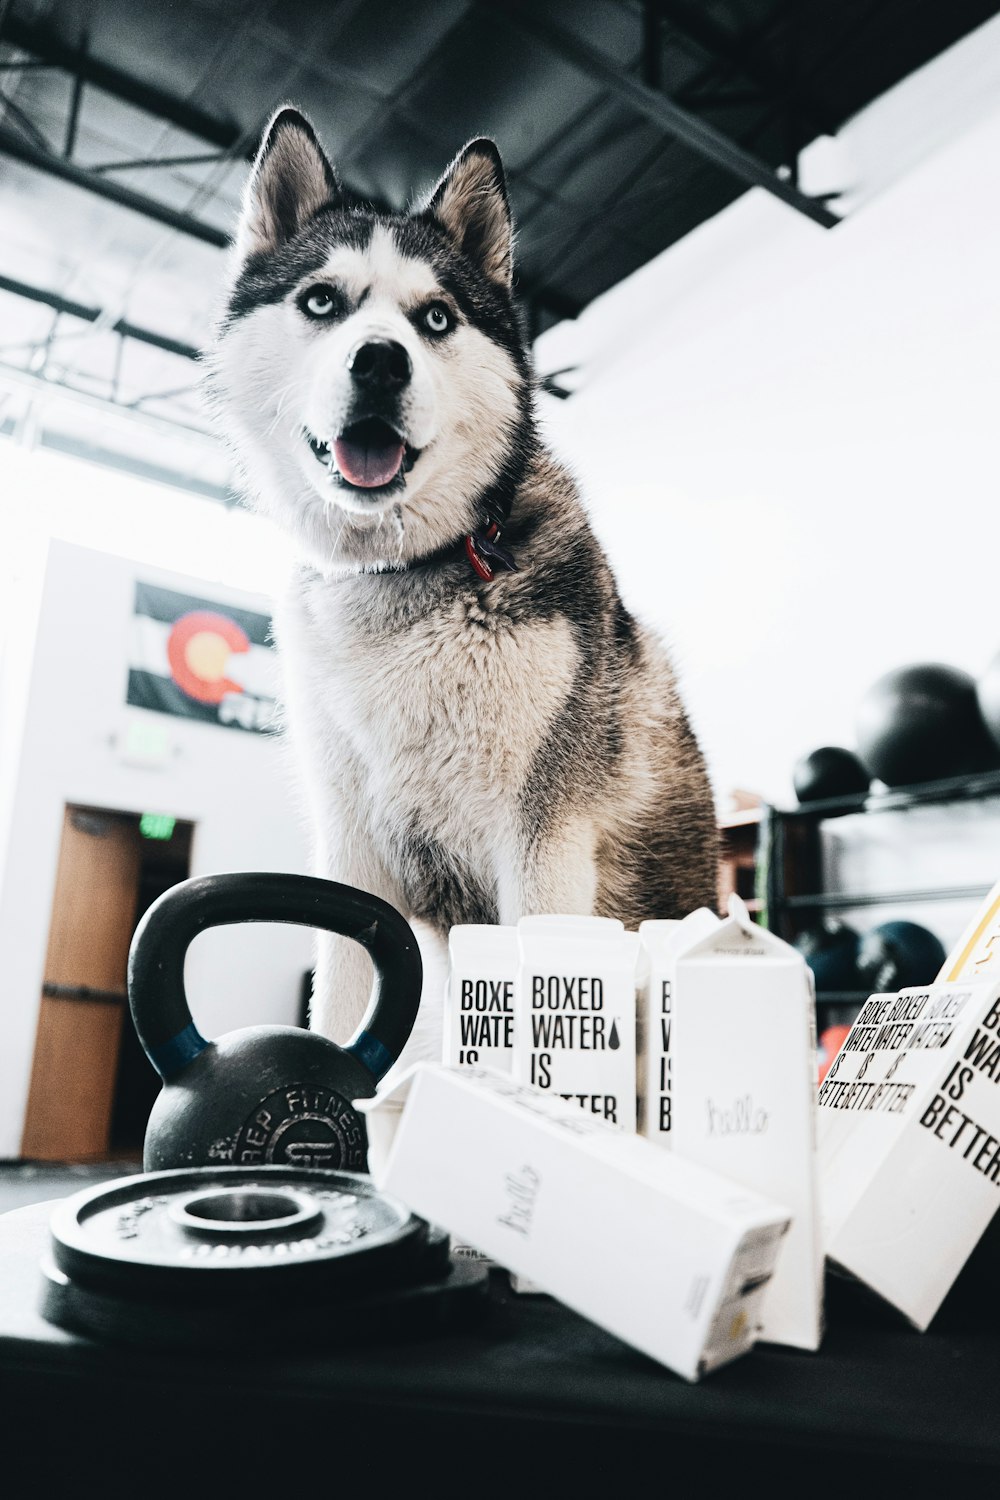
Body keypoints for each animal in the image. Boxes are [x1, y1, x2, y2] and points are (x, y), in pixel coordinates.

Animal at [209, 108, 719, 1044]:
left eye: (437, 318)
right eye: (321, 301)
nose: (380, 361)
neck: (403, 572)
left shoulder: (544, 838)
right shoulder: (351, 852)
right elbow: (337, 1005)